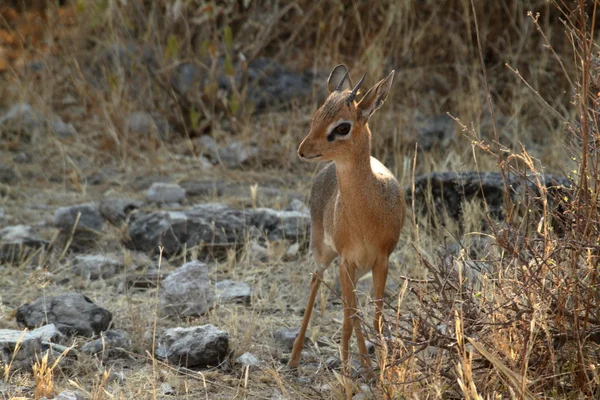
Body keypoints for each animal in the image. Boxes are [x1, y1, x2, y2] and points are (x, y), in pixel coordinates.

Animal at [292, 64, 408, 376]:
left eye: (342, 126)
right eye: (318, 114)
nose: (303, 150)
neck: (366, 216)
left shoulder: (381, 261)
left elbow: (375, 316)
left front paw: (380, 368)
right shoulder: (346, 261)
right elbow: (348, 316)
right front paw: (347, 369)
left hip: (355, 270)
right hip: (324, 253)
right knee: (315, 282)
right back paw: (295, 356)